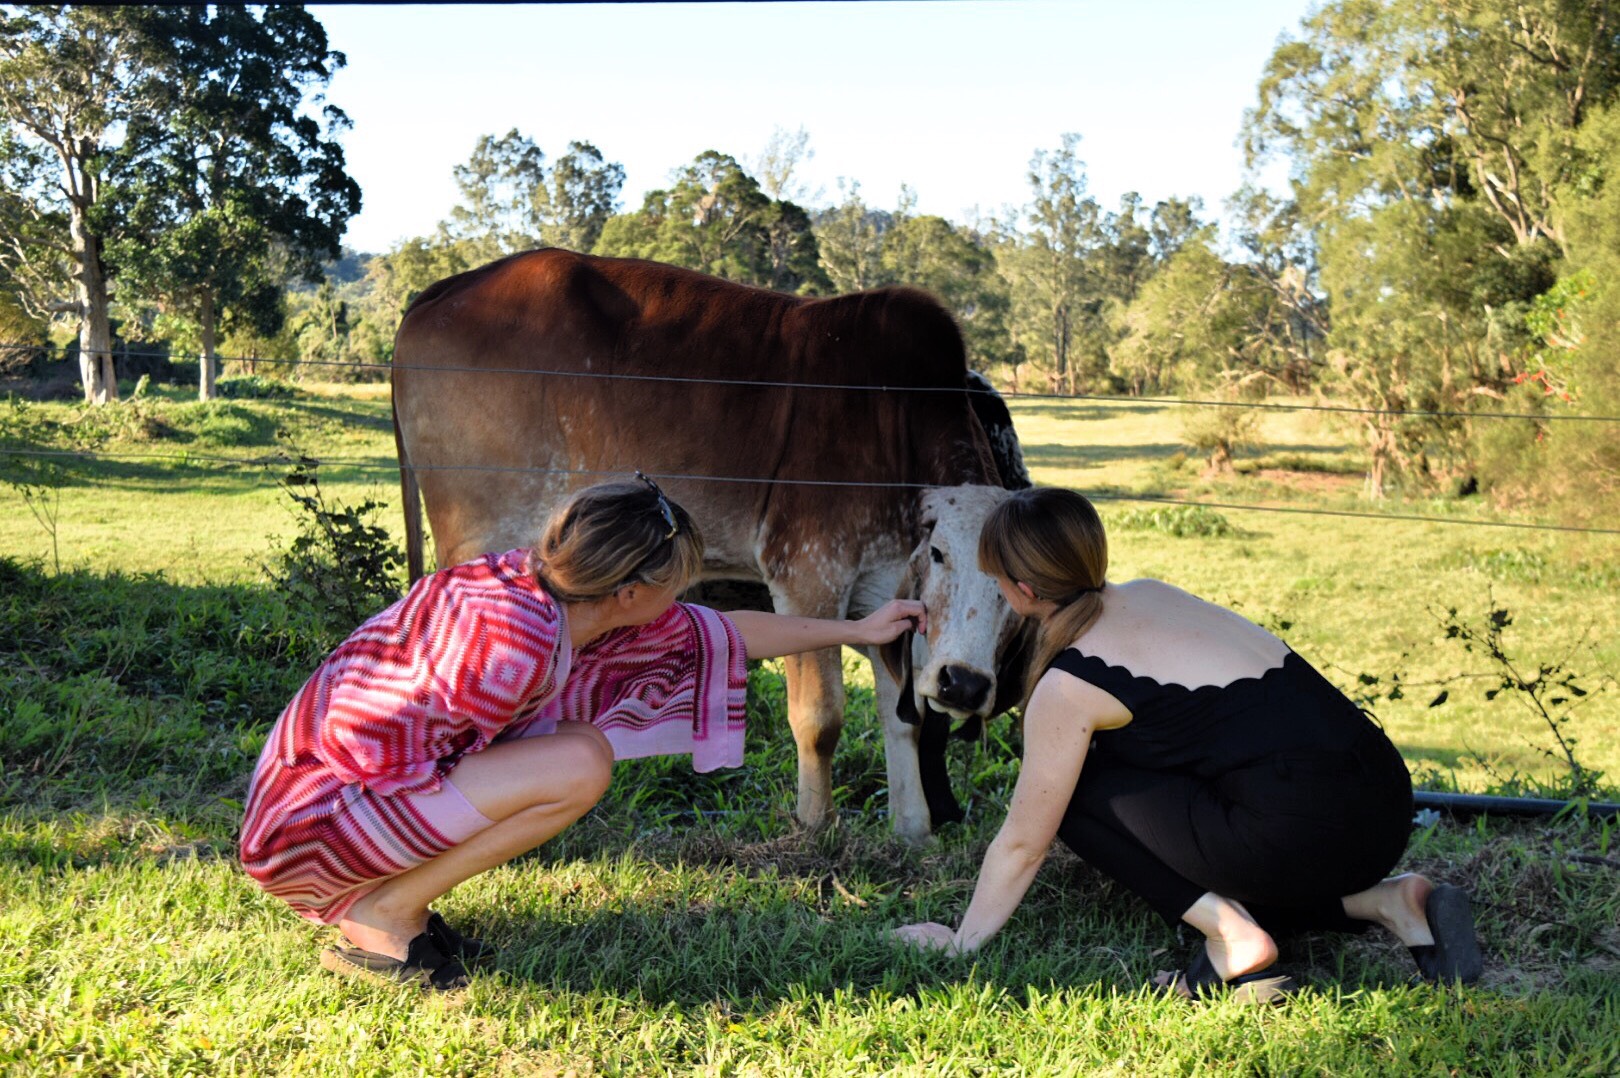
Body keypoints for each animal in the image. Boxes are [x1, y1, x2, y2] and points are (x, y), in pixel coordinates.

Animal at [387, 249, 1030, 842]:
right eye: (941, 554)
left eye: (1014, 589)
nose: (963, 684)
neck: (896, 423)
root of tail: (445, 289)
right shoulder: (807, 573)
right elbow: (820, 719)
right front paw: (815, 829)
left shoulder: (885, 594)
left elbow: (905, 718)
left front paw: (912, 831)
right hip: (479, 531)